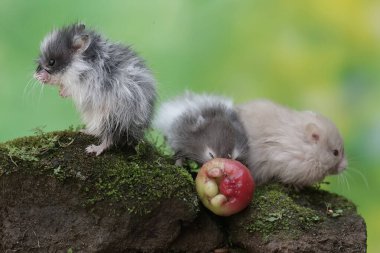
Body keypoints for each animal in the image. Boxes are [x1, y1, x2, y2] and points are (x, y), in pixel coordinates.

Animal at [34, 23, 156, 155]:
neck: (79, 64)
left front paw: (50, 83)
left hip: (112, 118)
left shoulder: (84, 86)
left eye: (52, 62)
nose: (35, 74)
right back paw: (86, 131)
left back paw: (93, 149)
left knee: (110, 138)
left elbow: (70, 89)